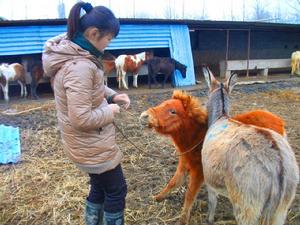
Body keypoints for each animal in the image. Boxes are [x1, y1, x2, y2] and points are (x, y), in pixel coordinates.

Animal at [139, 90, 288, 225]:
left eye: (173, 111)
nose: (144, 116)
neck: (197, 137)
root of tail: (279, 121)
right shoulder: (184, 164)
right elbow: (173, 182)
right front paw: (157, 197)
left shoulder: (199, 172)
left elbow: (190, 194)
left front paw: (183, 219)